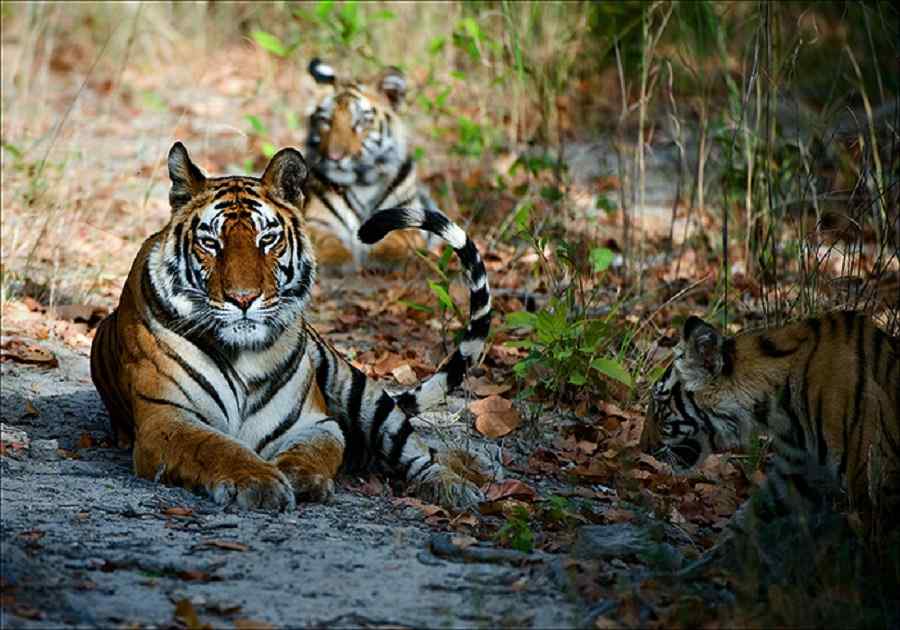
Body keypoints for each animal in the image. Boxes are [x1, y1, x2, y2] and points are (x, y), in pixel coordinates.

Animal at [89, 141, 492, 511]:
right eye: (211, 243)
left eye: (267, 240)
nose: (243, 299)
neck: (244, 356)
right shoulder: (167, 419)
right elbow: (218, 447)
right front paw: (260, 481)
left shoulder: (314, 423)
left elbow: (313, 451)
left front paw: (301, 478)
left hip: (360, 389)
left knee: (419, 452)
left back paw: (462, 483)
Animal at [301, 57, 440, 272]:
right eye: (326, 121)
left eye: (359, 122)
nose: (334, 157)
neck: (363, 182)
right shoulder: (317, 222)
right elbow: (325, 240)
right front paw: (338, 259)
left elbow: (399, 237)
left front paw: (384, 255)